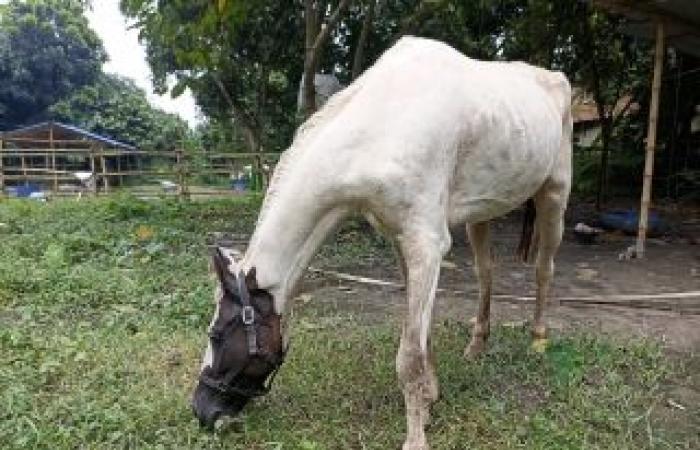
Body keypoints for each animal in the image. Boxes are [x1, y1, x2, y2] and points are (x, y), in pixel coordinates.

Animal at [190, 36, 568, 450]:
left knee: (544, 268)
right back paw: (477, 344)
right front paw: (429, 397)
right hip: (481, 212)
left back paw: (538, 339)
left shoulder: (426, 245)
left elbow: (409, 355)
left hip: (554, 194)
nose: (202, 410)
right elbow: (422, 334)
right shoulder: (402, 241)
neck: (384, 125)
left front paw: (416, 436)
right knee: (487, 272)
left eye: (216, 334)